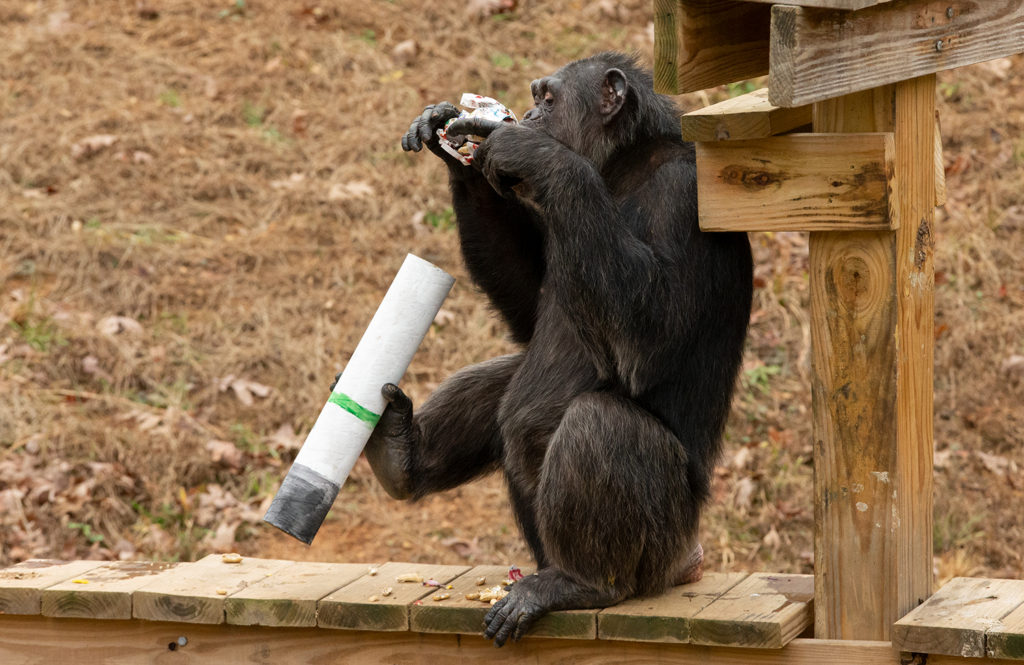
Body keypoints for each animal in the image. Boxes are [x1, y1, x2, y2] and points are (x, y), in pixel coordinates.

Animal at [380, 51, 749, 643]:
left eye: (548, 99)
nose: (528, 116)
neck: (618, 167)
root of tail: (689, 564)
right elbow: (530, 312)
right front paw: (456, 141)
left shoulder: (687, 197)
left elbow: (652, 341)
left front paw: (535, 154)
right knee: (510, 382)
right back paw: (401, 455)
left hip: (661, 552)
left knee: (599, 422)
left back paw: (579, 582)